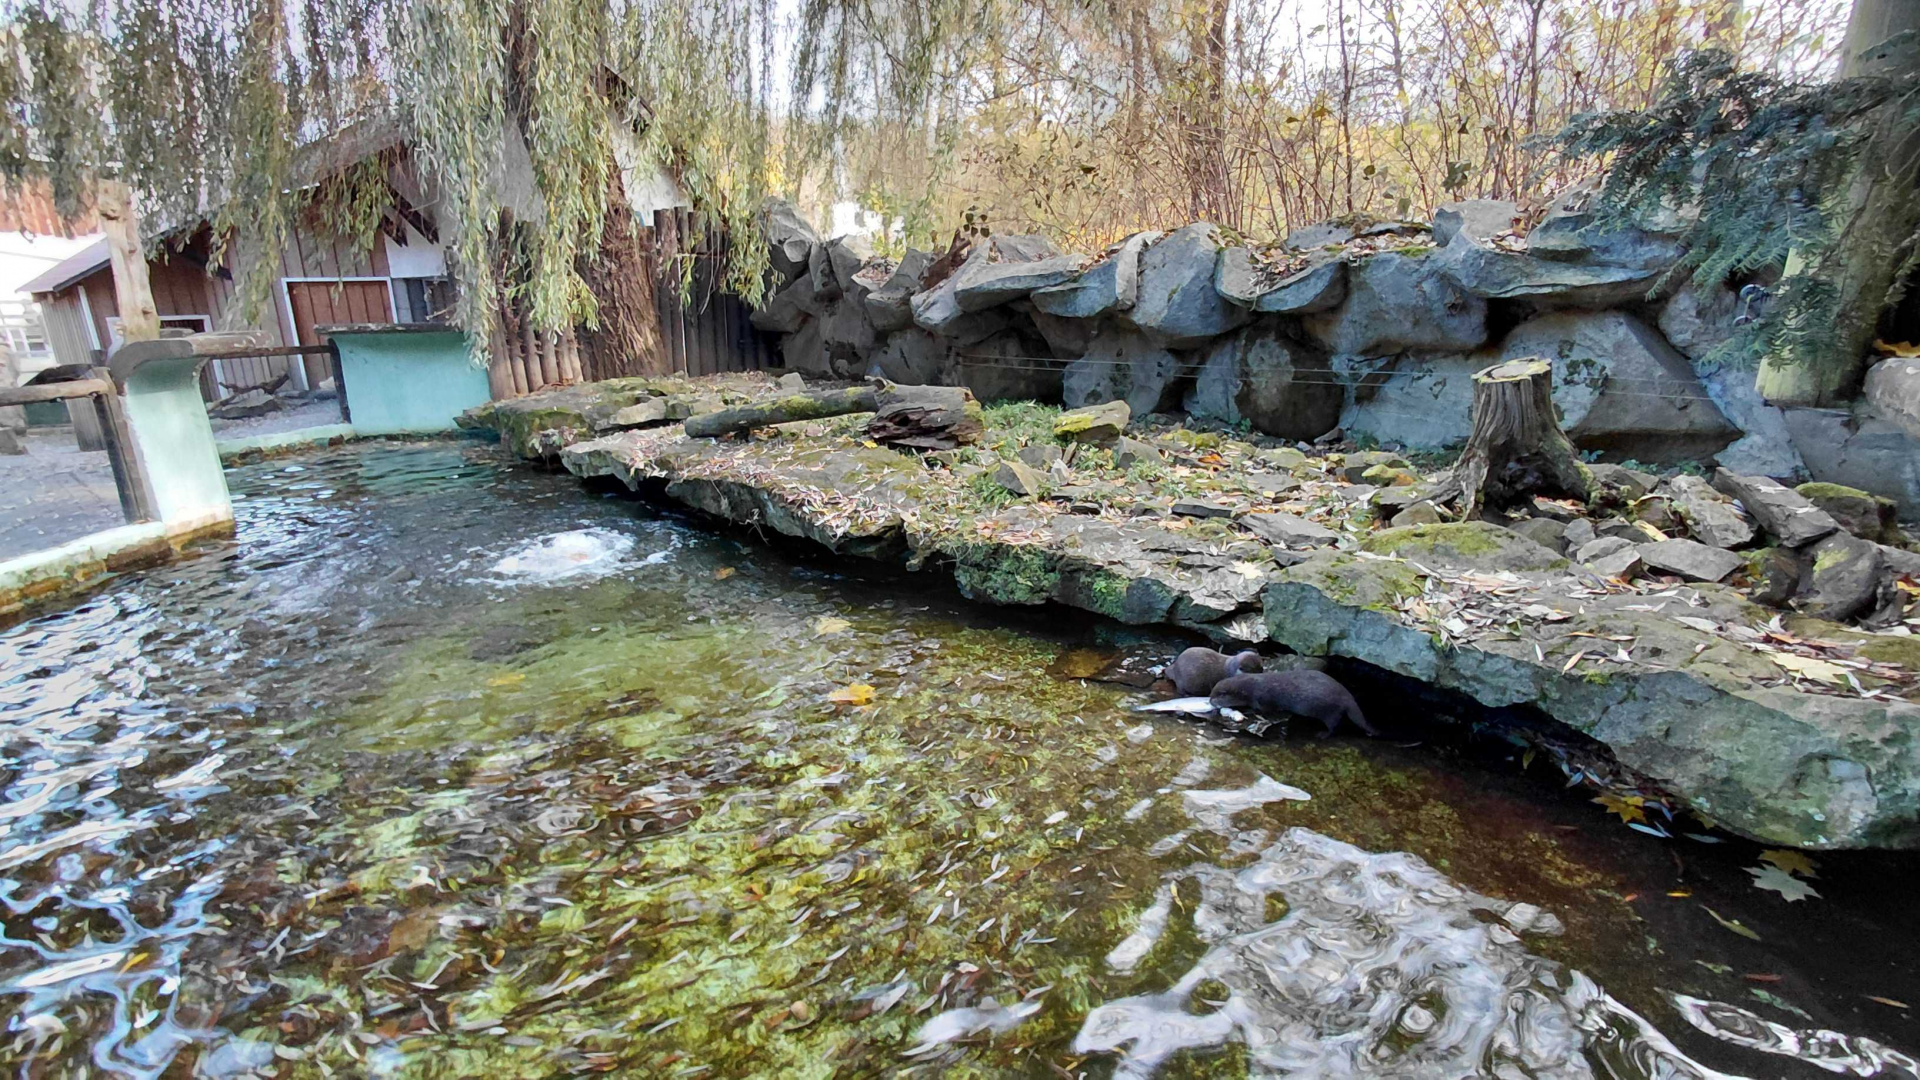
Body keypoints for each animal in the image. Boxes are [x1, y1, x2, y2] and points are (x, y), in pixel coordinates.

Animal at [1208, 670, 1377, 736]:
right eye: (1212, 690)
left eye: (1219, 694)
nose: (1210, 700)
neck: (1254, 685)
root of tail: (1346, 696)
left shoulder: (1262, 699)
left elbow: (1264, 710)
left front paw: (1247, 711)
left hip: (1330, 711)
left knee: (1334, 726)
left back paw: (1322, 734)